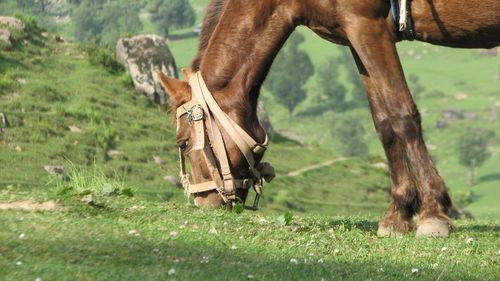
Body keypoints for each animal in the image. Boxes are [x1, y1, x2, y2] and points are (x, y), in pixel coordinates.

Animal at [157, 0, 500, 236]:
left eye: (183, 143)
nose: (203, 203)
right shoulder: (355, 33)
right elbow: (383, 121)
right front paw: (399, 212)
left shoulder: (367, 26)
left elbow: (401, 115)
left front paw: (433, 213)